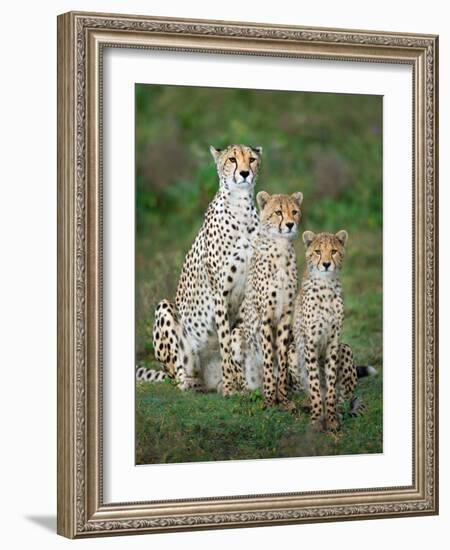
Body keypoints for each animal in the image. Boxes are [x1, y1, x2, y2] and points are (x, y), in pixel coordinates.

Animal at [152, 144, 264, 394]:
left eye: (252, 159)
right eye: (232, 159)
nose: (244, 173)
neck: (240, 207)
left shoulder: (247, 293)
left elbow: (237, 336)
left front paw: (242, 383)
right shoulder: (220, 293)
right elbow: (224, 339)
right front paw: (232, 385)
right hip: (165, 309)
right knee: (179, 375)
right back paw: (192, 382)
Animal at [229, 191, 302, 410]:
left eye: (294, 212)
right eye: (278, 212)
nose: (290, 224)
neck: (281, 248)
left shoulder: (286, 316)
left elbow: (282, 360)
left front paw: (283, 399)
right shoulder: (266, 317)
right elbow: (269, 358)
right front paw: (271, 399)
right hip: (237, 334)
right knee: (242, 379)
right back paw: (251, 391)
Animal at [288, 231, 370, 434]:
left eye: (333, 251)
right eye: (318, 251)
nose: (326, 264)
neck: (325, 286)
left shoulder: (333, 341)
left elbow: (332, 384)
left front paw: (332, 420)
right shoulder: (310, 342)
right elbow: (315, 385)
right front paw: (317, 420)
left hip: (345, 349)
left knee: (344, 397)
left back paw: (338, 412)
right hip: (292, 350)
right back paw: (307, 405)